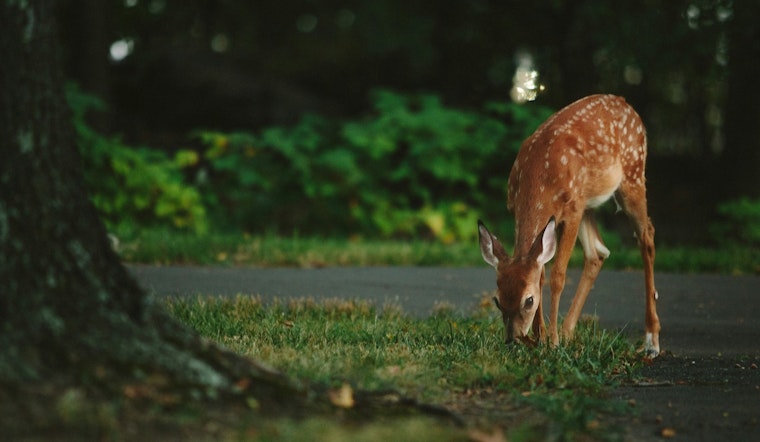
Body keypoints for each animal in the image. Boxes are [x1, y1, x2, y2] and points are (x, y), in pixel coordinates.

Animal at [478, 94, 661, 358]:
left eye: (528, 301)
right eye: (497, 300)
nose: (513, 340)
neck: (539, 176)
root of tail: (626, 103)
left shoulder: (572, 211)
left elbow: (557, 276)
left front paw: (551, 342)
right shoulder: (520, 209)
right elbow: (540, 272)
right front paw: (541, 337)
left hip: (632, 175)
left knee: (647, 236)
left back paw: (651, 341)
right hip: (588, 203)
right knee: (598, 252)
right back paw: (568, 332)